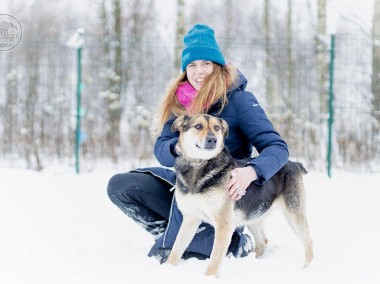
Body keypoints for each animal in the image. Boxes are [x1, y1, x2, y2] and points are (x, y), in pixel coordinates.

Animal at [165, 114, 314, 276]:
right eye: (198, 126)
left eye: (216, 128)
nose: (212, 140)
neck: (198, 165)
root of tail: (293, 163)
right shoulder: (191, 218)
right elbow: (176, 248)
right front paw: (167, 268)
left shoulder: (224, 223)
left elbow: (215, 258)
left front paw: (209, 277)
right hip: (253, 215)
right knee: (262, 241)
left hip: (294, 214)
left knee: (308, 241)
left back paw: (308, 268)